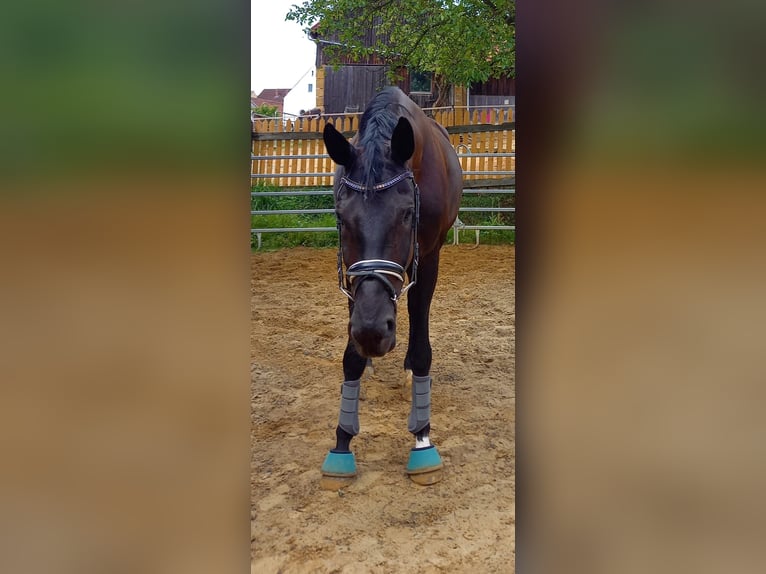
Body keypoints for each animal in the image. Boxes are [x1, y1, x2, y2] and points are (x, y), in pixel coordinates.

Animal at [320, 86, 463, 487]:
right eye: (341, 217)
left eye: (407, 214)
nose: (374, 332)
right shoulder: (351, 272)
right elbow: (351, 356)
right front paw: (342, 442)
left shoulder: (427, 257)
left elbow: (421, 331)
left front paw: (422, 437)